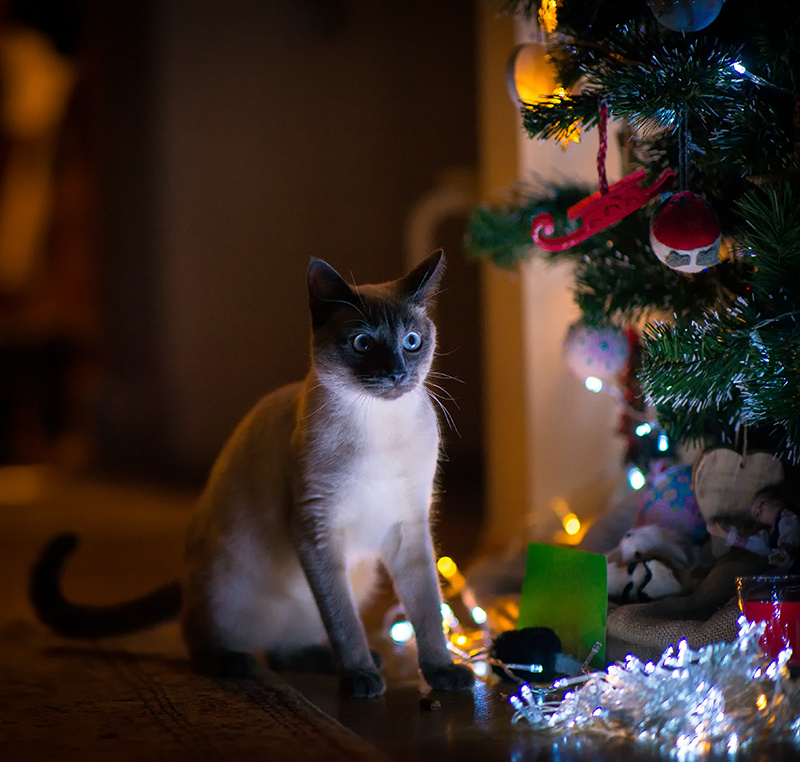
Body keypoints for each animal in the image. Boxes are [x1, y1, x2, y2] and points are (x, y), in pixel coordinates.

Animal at [30, 250, 474, 699]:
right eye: (363, 343)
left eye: (412, 342)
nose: (397, 373)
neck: (382, 426)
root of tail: (187, 576)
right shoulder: (318, 529)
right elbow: (346, 623)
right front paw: (360, 678)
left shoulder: (410, 529)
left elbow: (427, 613)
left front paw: (443, 673)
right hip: (226, 586)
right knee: (209, 642)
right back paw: (238, 663)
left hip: (349, 582)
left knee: (283, 648)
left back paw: (336, 659)